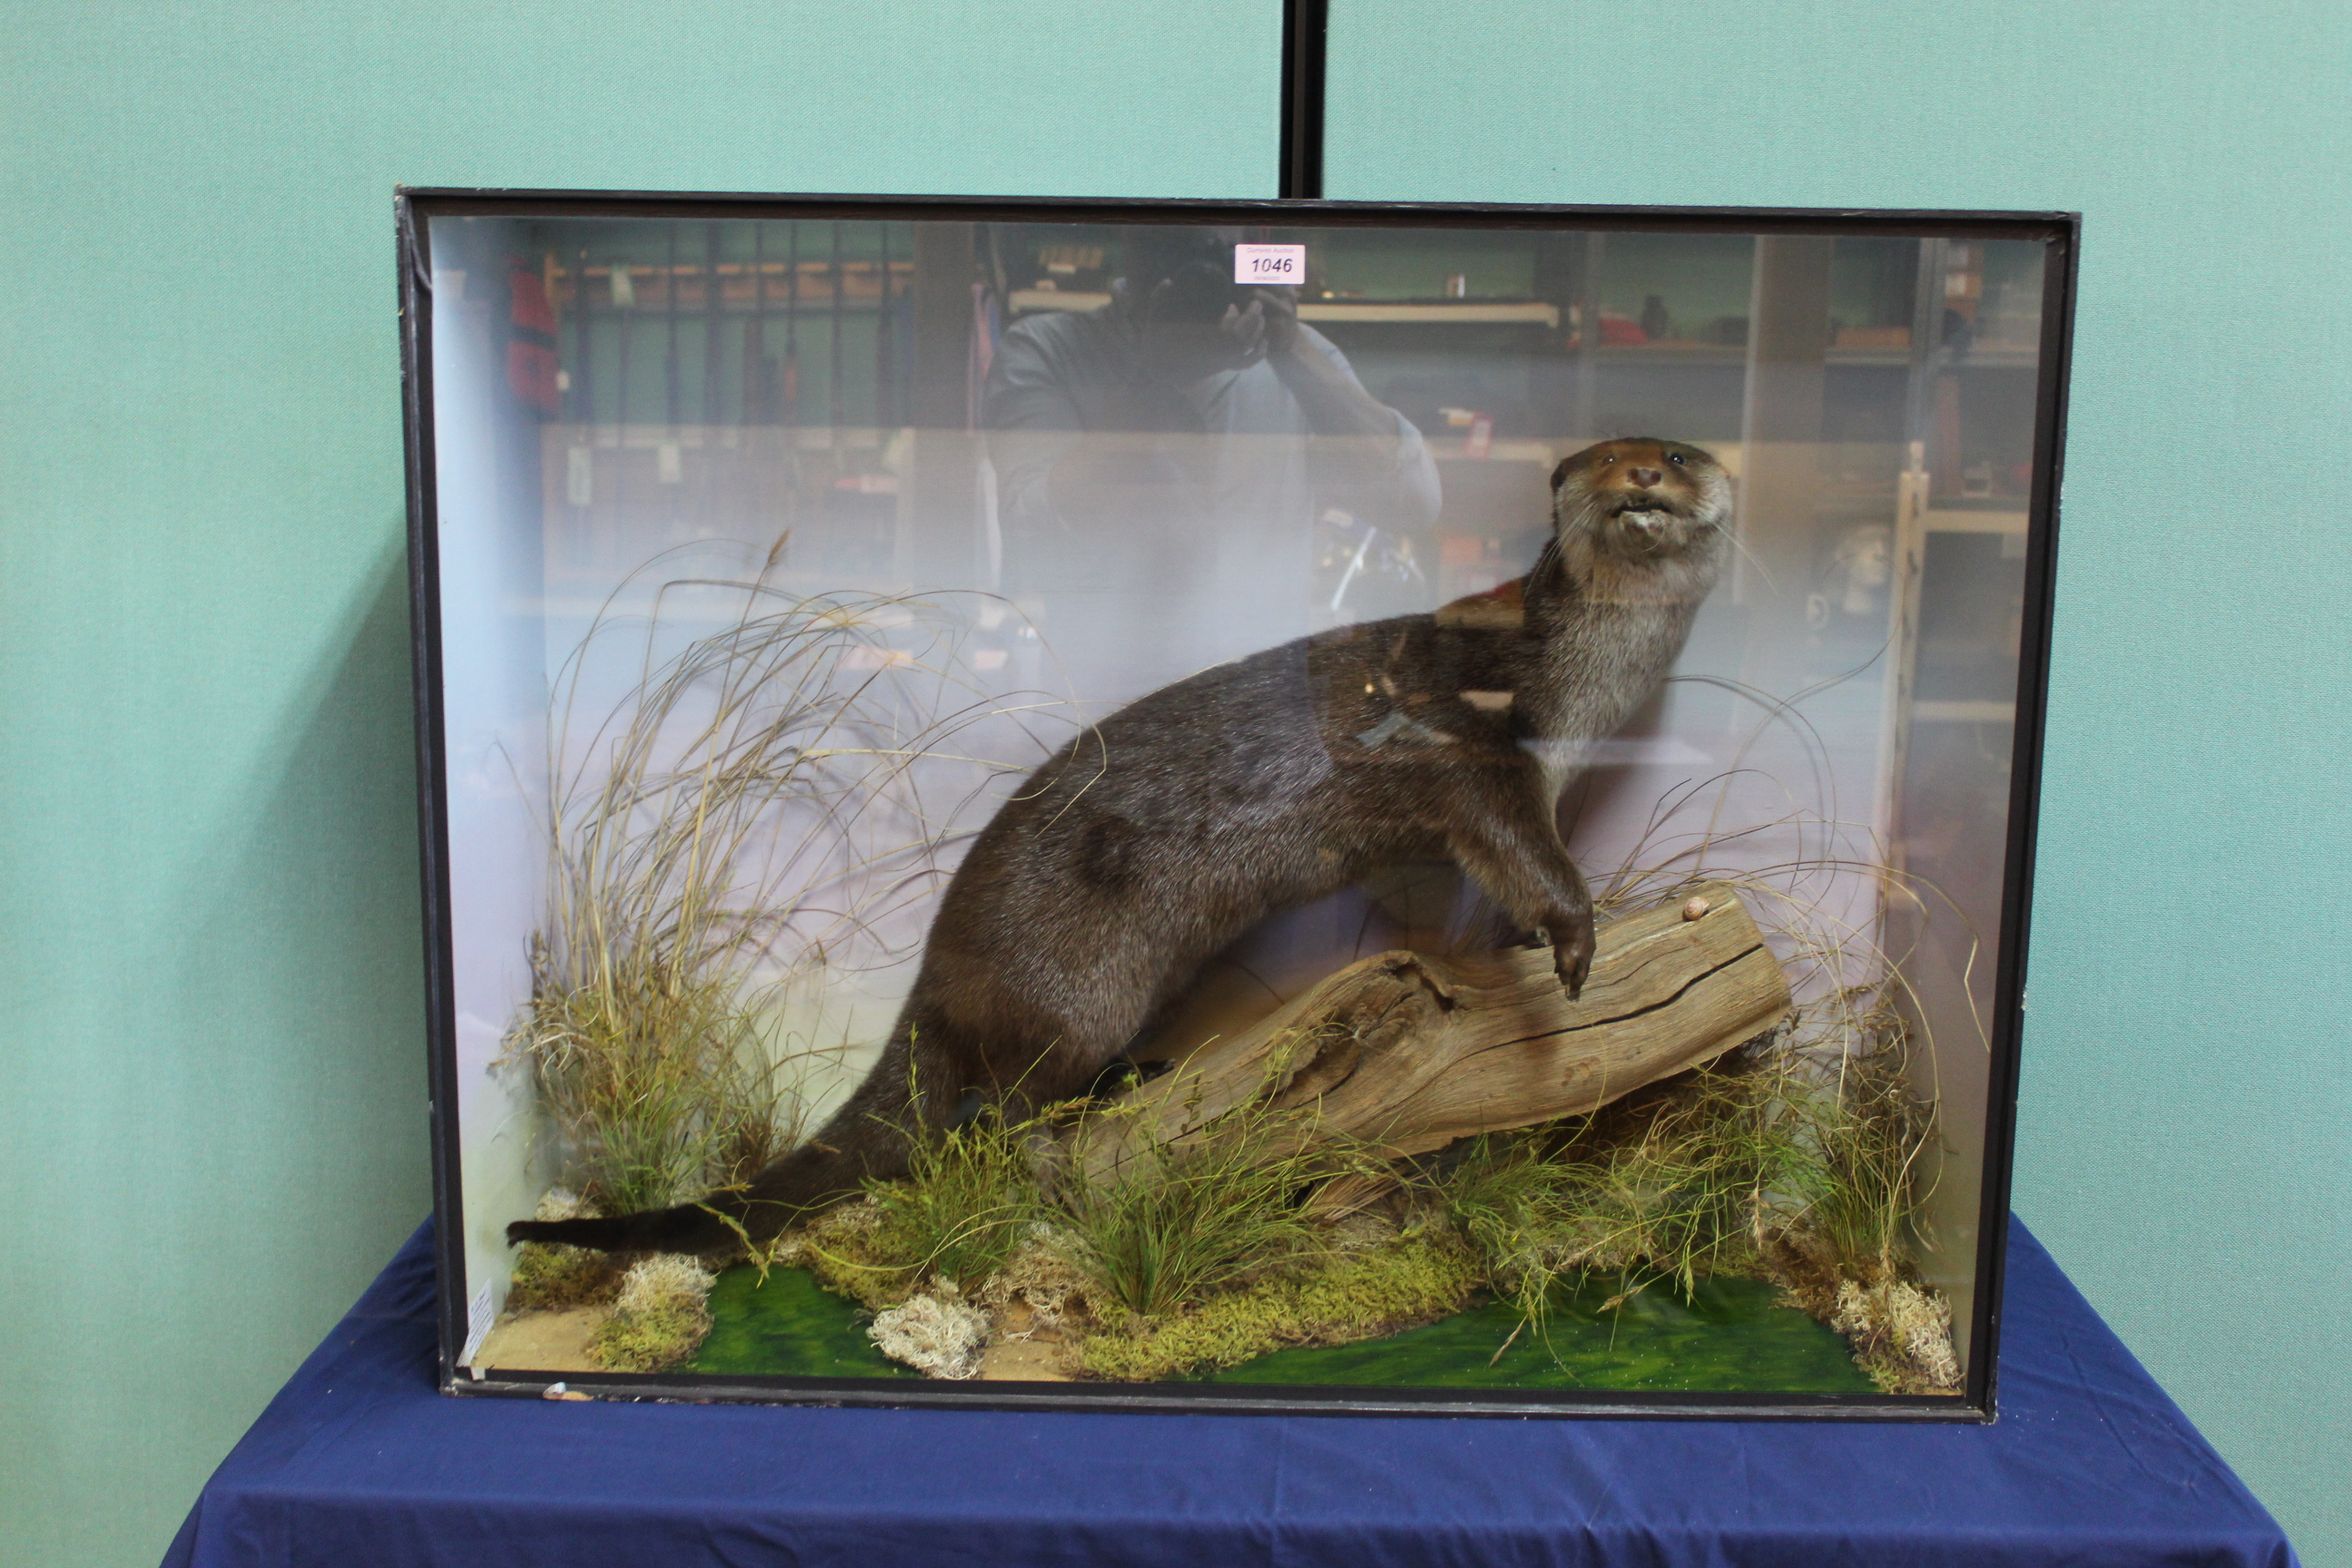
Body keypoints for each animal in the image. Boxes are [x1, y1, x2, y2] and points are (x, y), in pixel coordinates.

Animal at [510, 435, 1730, 1259]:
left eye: (1675, 454)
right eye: (1603, 460)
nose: (1641, 476)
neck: (1570, 691)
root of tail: (937, 975)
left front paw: (1527, 936)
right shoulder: (1477, 752)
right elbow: (1517, 847)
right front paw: (1573, 935)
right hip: (1082, 983)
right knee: (1002, 1100)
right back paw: (1075, 1127)